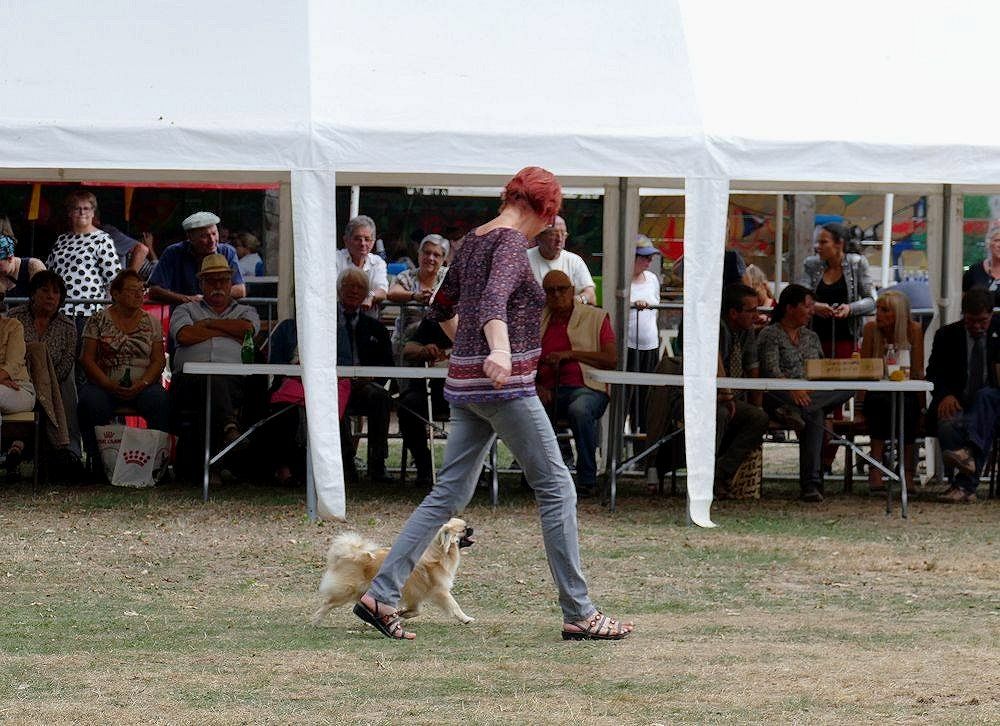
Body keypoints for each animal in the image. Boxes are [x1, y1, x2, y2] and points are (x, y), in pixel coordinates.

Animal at [310, 516, 474, 624]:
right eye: (464, 530)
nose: (472, 528)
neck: (439, 552)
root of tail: (349, 555)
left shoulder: (415, 594)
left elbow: (415, 611)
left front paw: (402, 614)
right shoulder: (440, 591)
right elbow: (454, 606)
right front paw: (466, 618)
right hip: (347, 591)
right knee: (328, 603)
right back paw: (316, 620)